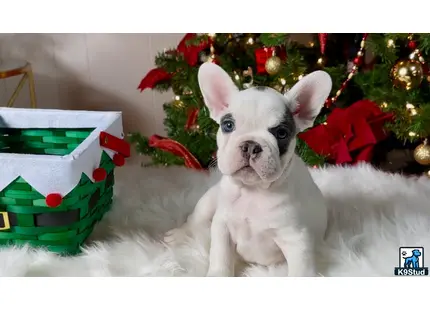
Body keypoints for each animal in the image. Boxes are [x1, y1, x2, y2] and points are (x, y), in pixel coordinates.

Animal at [165, 62, 332, 276]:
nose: (251, 145)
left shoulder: (297, 239)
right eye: (228, 125)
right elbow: (220, 256)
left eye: (281, 133)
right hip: (208, 201)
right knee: (194, 220)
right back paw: (179, 235)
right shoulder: (222, 226)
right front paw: (218, 274)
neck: (254, 191)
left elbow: (300, 271)